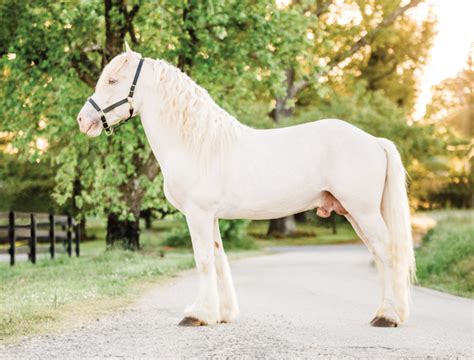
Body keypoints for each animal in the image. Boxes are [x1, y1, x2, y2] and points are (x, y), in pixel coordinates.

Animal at [77, 43, 414, 328]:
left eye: (112, 81)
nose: (83, 120)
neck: (196, 143)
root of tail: (374, 141)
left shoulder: (198, 215)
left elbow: (203, 261)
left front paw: (197, 315)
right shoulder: (210, 217)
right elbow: (219, 260)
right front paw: (222, 314)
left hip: (364, 212)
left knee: (388, 253)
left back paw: (388, 316)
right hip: (355, 214)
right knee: (379, 255)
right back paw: (385, 313)